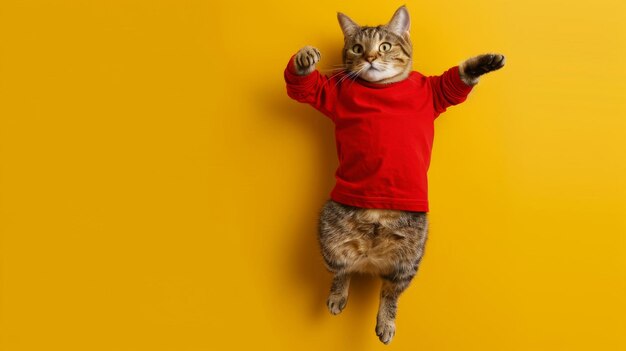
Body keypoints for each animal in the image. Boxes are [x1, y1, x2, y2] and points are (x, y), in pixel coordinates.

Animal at [286, 4, 504, 346]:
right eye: (357, 48)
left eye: (385, 46)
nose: (370, 57)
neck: (382, 87)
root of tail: (370, 259)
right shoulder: (331, 96)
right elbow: (308, 88)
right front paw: (304, 59)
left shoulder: (435, 92)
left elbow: (456, 79)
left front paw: (486, 62)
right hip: (330, 239)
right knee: (343, 272)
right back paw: (338, 296)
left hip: (408, 258)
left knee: (390, 293)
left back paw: (385, 323)